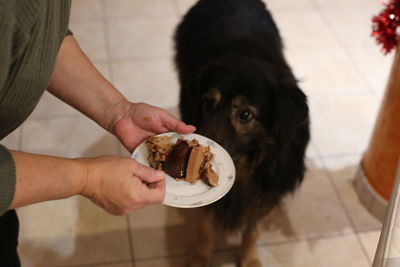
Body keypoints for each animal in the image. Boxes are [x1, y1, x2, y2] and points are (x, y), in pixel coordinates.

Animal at [174, 1, 310, 266]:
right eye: (207, 103)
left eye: (245, 114)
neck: (247, 160)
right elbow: (205, 223)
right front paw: (201, 256)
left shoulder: (267, 189)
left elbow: (252, 228)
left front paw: (249, 259)